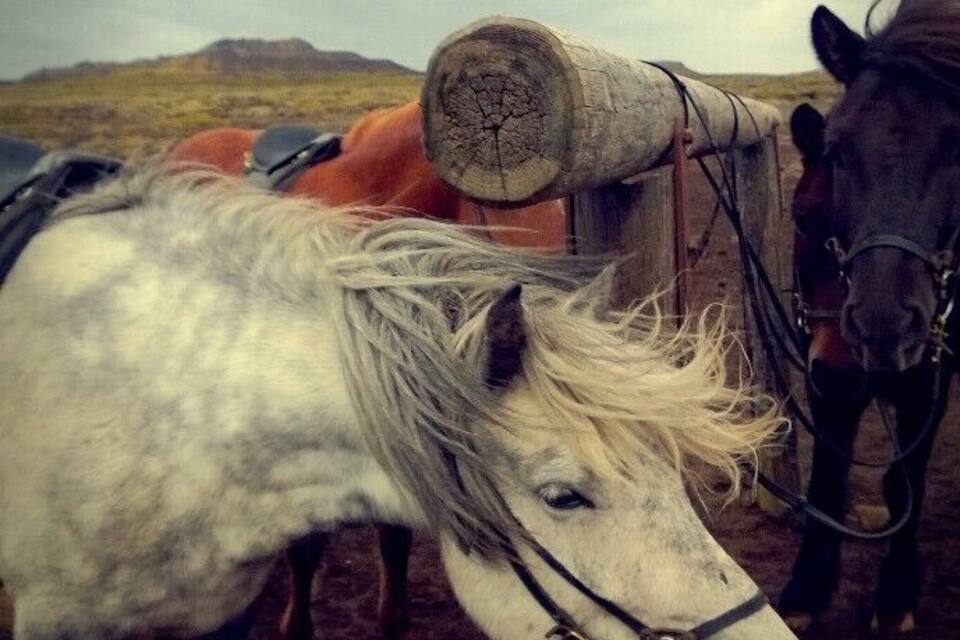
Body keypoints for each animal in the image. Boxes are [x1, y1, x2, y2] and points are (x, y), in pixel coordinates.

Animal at [779, 2, 960, 636]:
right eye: (800, 218)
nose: (880, 328)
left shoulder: (929, 361)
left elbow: (904, 478)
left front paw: (897, 595)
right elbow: (828, 471)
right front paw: (807, 587)